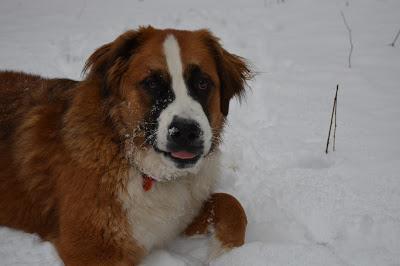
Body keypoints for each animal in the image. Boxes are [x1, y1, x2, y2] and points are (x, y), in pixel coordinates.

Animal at [0, 27, 250, 266]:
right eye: (152, 83)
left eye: (202, 83)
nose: (187, 131)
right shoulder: (91, 249)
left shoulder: (179, 218)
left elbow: (231, 203)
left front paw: (224, 252)